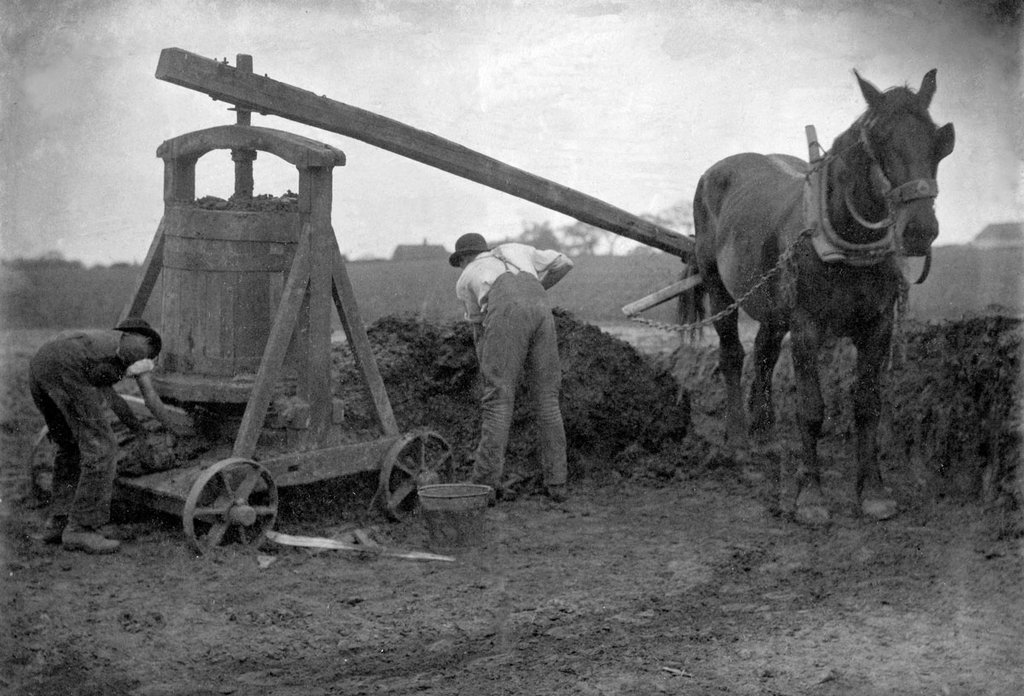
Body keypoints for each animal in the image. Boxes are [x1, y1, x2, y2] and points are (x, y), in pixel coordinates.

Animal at [684, 69, 954, 522]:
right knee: (733, 355)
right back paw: (739, 442)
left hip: (774, 305)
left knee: (764, 354)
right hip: (720, 287)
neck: (847, 241)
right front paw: (810, 496)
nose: (919, 229)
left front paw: (873, 491)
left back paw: (764, 436)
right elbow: (811, 409)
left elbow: (868, 405)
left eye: (939, 140)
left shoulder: (878, 327)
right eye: (878, 139)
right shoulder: (807, 326)